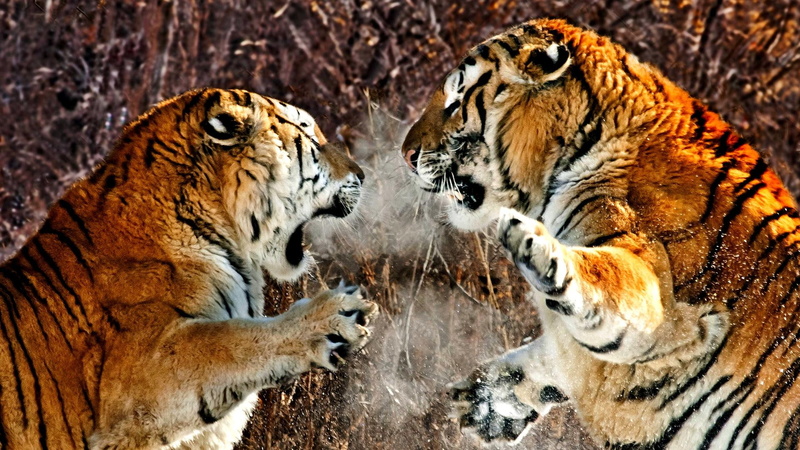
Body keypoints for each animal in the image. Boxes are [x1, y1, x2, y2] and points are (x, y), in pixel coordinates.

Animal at [401, 18, 800, 449]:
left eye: (455, 102)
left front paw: (536, 247)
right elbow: (547, 354)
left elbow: (604, 284)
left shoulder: (659, 298)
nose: (405, 155)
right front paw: (481, 400)